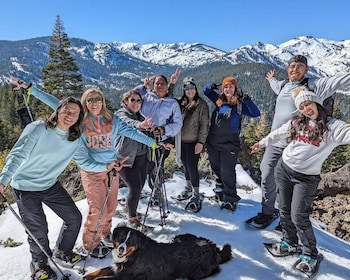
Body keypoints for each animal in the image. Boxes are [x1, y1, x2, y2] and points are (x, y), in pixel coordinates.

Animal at [83, 225, 232, 280]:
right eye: (121, 238)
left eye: (130, 241)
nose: (121, 249)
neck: (135, 254)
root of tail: (213, 247)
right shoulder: (118, 267)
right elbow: (101, 270)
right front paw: (88, 275)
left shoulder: (126, 276)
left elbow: (103, 278)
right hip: (179, 237)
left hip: (195, 272)